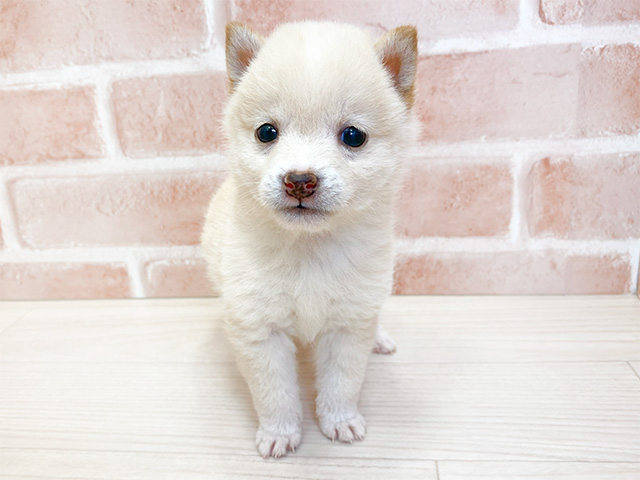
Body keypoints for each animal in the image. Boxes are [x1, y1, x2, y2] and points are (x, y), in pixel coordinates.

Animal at [202, 21, 418, 458]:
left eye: (353, 136)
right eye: (267, 132)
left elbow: (342, 383)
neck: (309, 249)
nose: (299, 180)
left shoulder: (349, 326)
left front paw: (339, 420)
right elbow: (275, 393)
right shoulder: (259, 331)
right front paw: (280, 432)